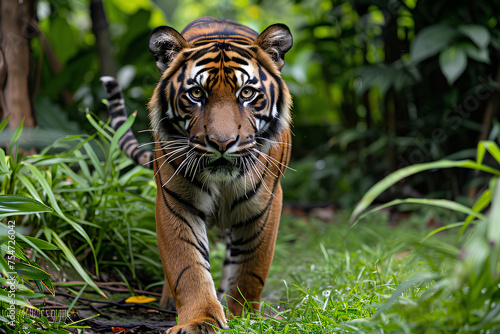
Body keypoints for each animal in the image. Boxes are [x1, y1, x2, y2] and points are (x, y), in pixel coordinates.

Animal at [101, 17, 292, 332]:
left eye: (247, 93)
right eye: (197, 94)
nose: (222, 143)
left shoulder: (265, 204)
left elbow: (251, 269)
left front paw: (244, 317)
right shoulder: (176, 201)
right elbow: (187, 265)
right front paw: (200, 320)